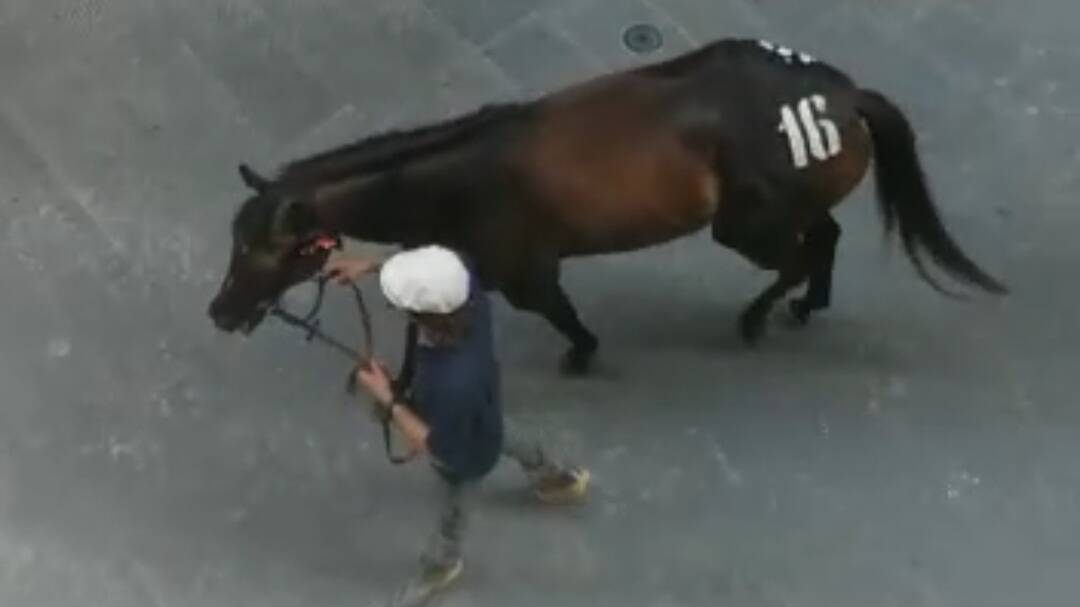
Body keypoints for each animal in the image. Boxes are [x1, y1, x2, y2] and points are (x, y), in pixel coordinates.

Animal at [208, 37, 1002, 373]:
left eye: (262, 249)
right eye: (235, 241)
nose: (220, 311)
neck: (455, 177)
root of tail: (843, 98)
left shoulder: (525, 271)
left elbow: (561, 314)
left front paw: (582, 352)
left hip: (745, 224)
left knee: (800, 252)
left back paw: (758, 316)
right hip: (778, 209)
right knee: (823, 239)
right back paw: (808, 305)